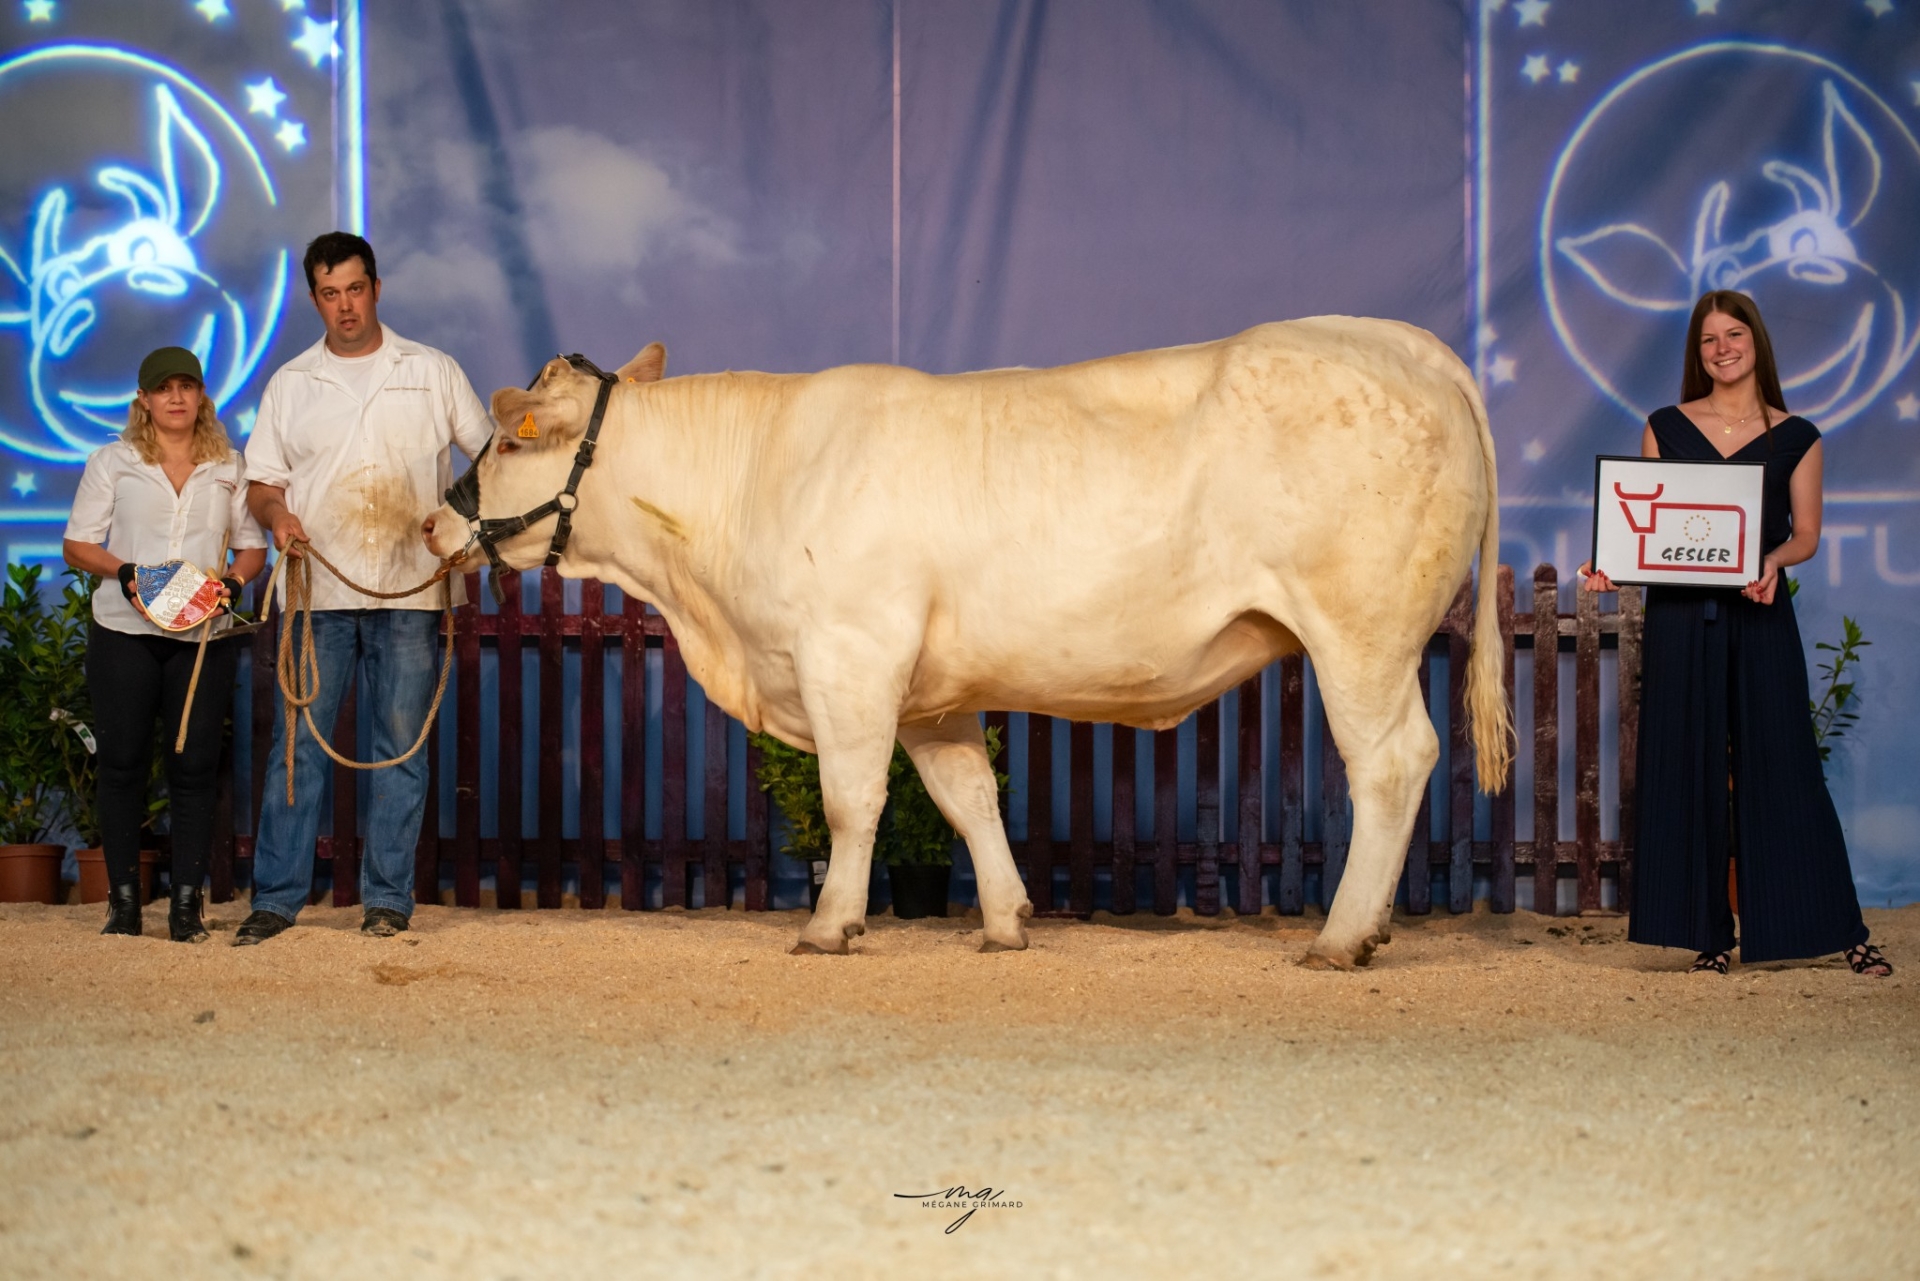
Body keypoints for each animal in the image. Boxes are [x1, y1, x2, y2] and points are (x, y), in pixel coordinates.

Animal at [424, 322, 1512, 971]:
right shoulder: (930, 694)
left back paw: (1342, 934)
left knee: (1391, 763)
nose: (435, 521)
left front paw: (831, 922)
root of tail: (1403, 343)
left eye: (512, 438)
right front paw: (1005, 920)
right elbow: (967, 799)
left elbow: (851, 802)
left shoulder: (850, 654)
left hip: (1358, 633)